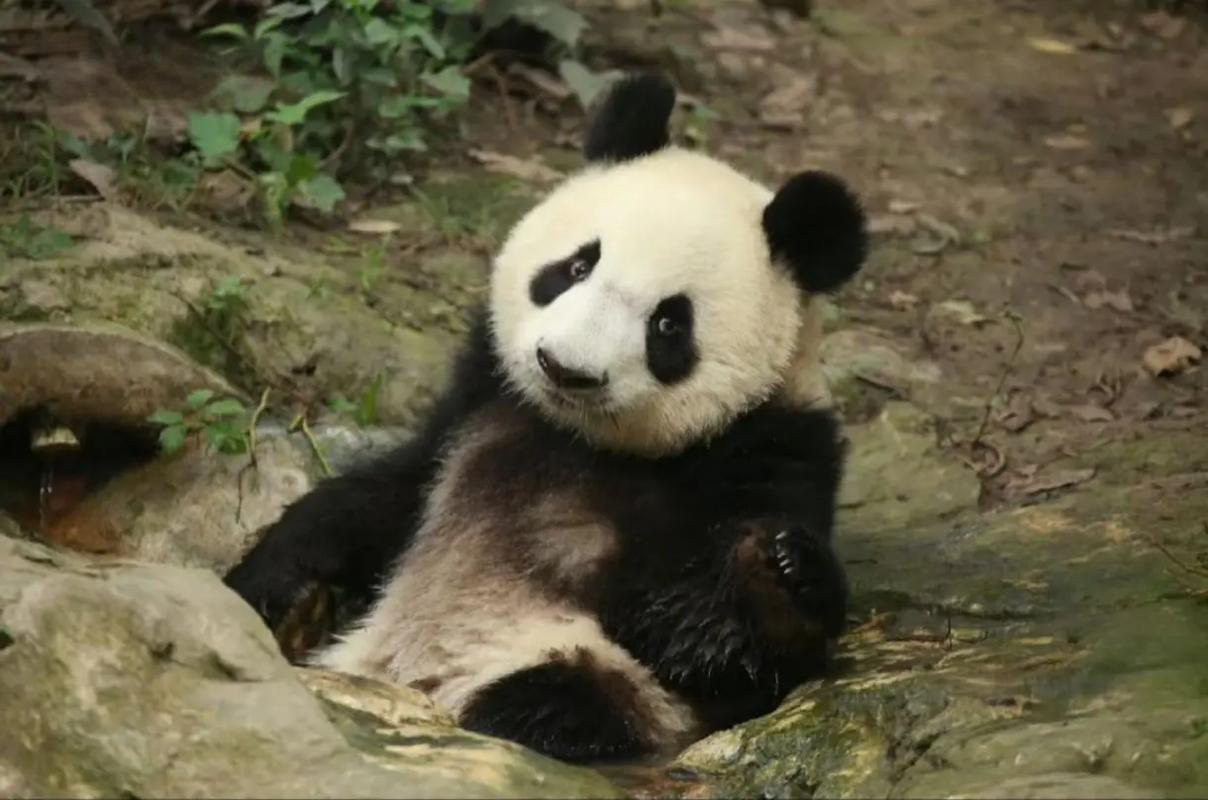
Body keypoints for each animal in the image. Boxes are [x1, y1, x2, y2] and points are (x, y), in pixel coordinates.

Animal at [225, 73, 867, 762]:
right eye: (576, 266)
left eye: (669, 324)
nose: (565, 368)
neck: (582, 439)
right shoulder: (479, 403)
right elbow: (382, 499)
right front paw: (279, 585)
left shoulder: (767, 450)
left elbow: (732, 654)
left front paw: (777, 573)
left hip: (563, 670)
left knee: (562, 698)